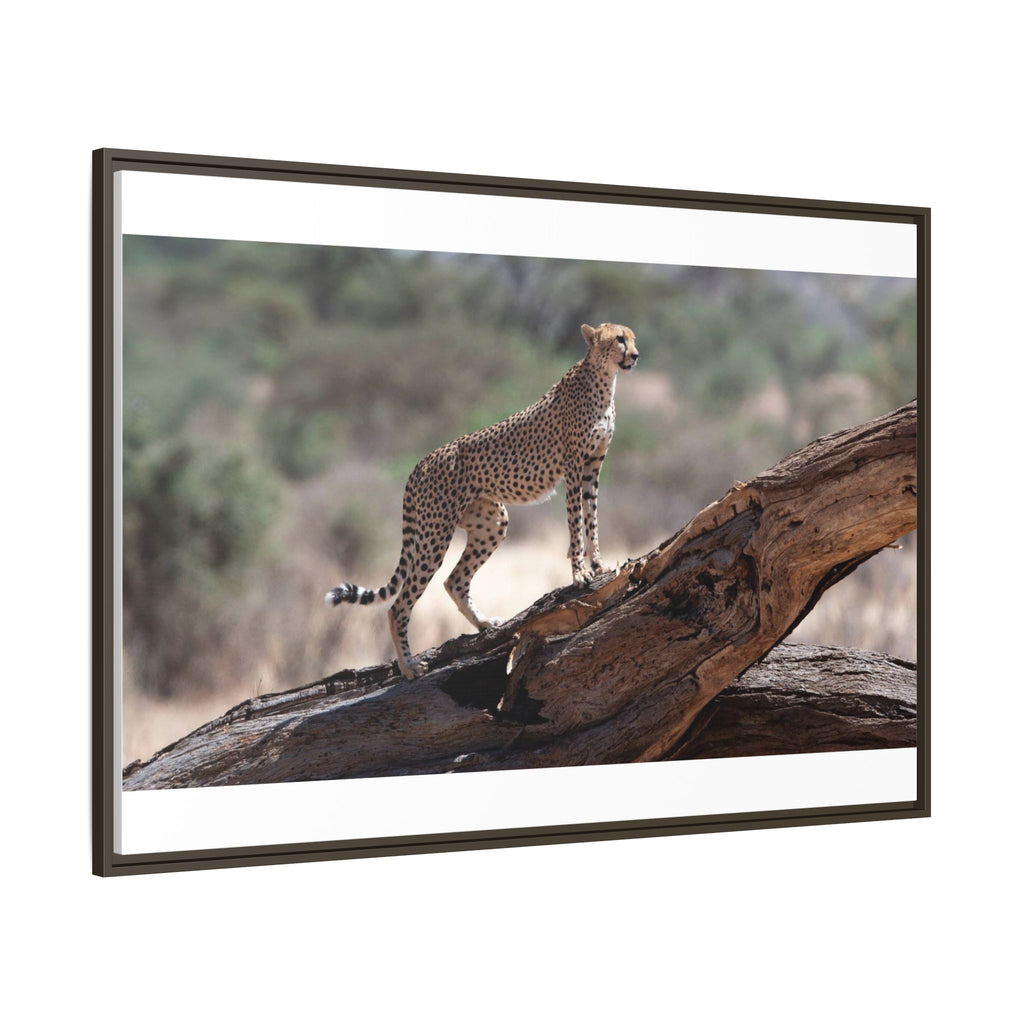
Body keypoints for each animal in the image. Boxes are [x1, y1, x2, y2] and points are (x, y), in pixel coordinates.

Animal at [325, 322, 639, 679]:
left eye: (632, 338)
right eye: (619, 339)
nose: (635, 355)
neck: (603, 379)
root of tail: (421, 462)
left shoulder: (592, 468)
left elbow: (592, 517)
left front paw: (598, 564)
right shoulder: (573, 468)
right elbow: (576, 523)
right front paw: (579, 573)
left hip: (491, 523)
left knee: (454, 581)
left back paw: (485, 623)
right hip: (435, 534)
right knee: (399, 604)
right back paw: (408, 666)